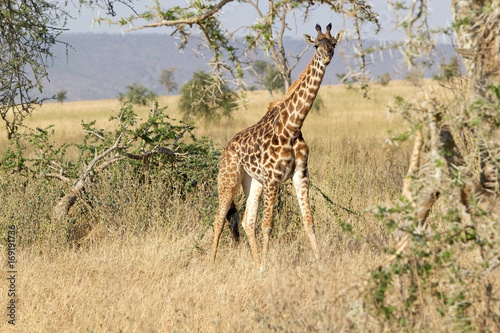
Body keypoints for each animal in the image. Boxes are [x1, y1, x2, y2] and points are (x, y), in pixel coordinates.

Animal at [210, 23, 344, 268]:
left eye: (334, 43)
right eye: (316, 45)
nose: (327, 57)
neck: (293, 127)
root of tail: (226, 148)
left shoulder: (301, 176)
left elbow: (309, 222)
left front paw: (320, 262)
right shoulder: (273, 178)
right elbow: (268, 225)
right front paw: (266, 268)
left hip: (253, 182)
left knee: (246, 221)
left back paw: (254, 263)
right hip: (228, 178)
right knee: (219, 218)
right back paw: (213, 262)